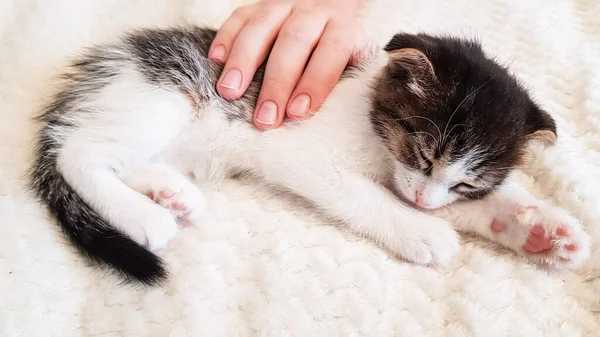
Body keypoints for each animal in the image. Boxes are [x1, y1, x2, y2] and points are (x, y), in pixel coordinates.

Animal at [29, 25, 592, 284]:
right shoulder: (294, 145)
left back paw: (171, 194)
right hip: (161, 96)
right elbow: (362, 194)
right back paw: (145, 217)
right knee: (79, 155)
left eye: (467, 182)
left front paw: (541, 230)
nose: (426, 204)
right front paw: (423, 231)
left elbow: (473, 205)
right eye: (425, 153)